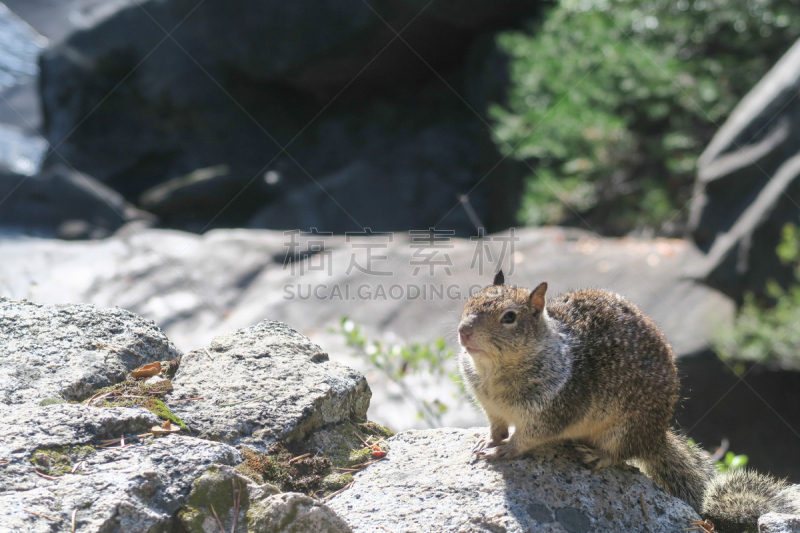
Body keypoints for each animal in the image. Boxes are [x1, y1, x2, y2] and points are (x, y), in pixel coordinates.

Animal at [456, 272, 800, 528]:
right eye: (469, 301)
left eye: (509, 317)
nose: (463, 331)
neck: (494, 374)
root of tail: (655, 437)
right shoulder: (490, 408)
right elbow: (496, 426)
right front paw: (486, 440)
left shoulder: (553, 411)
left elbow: (525, 439)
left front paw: (502, 451)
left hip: (622, 430)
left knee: (620, 455)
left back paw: (596, 456)